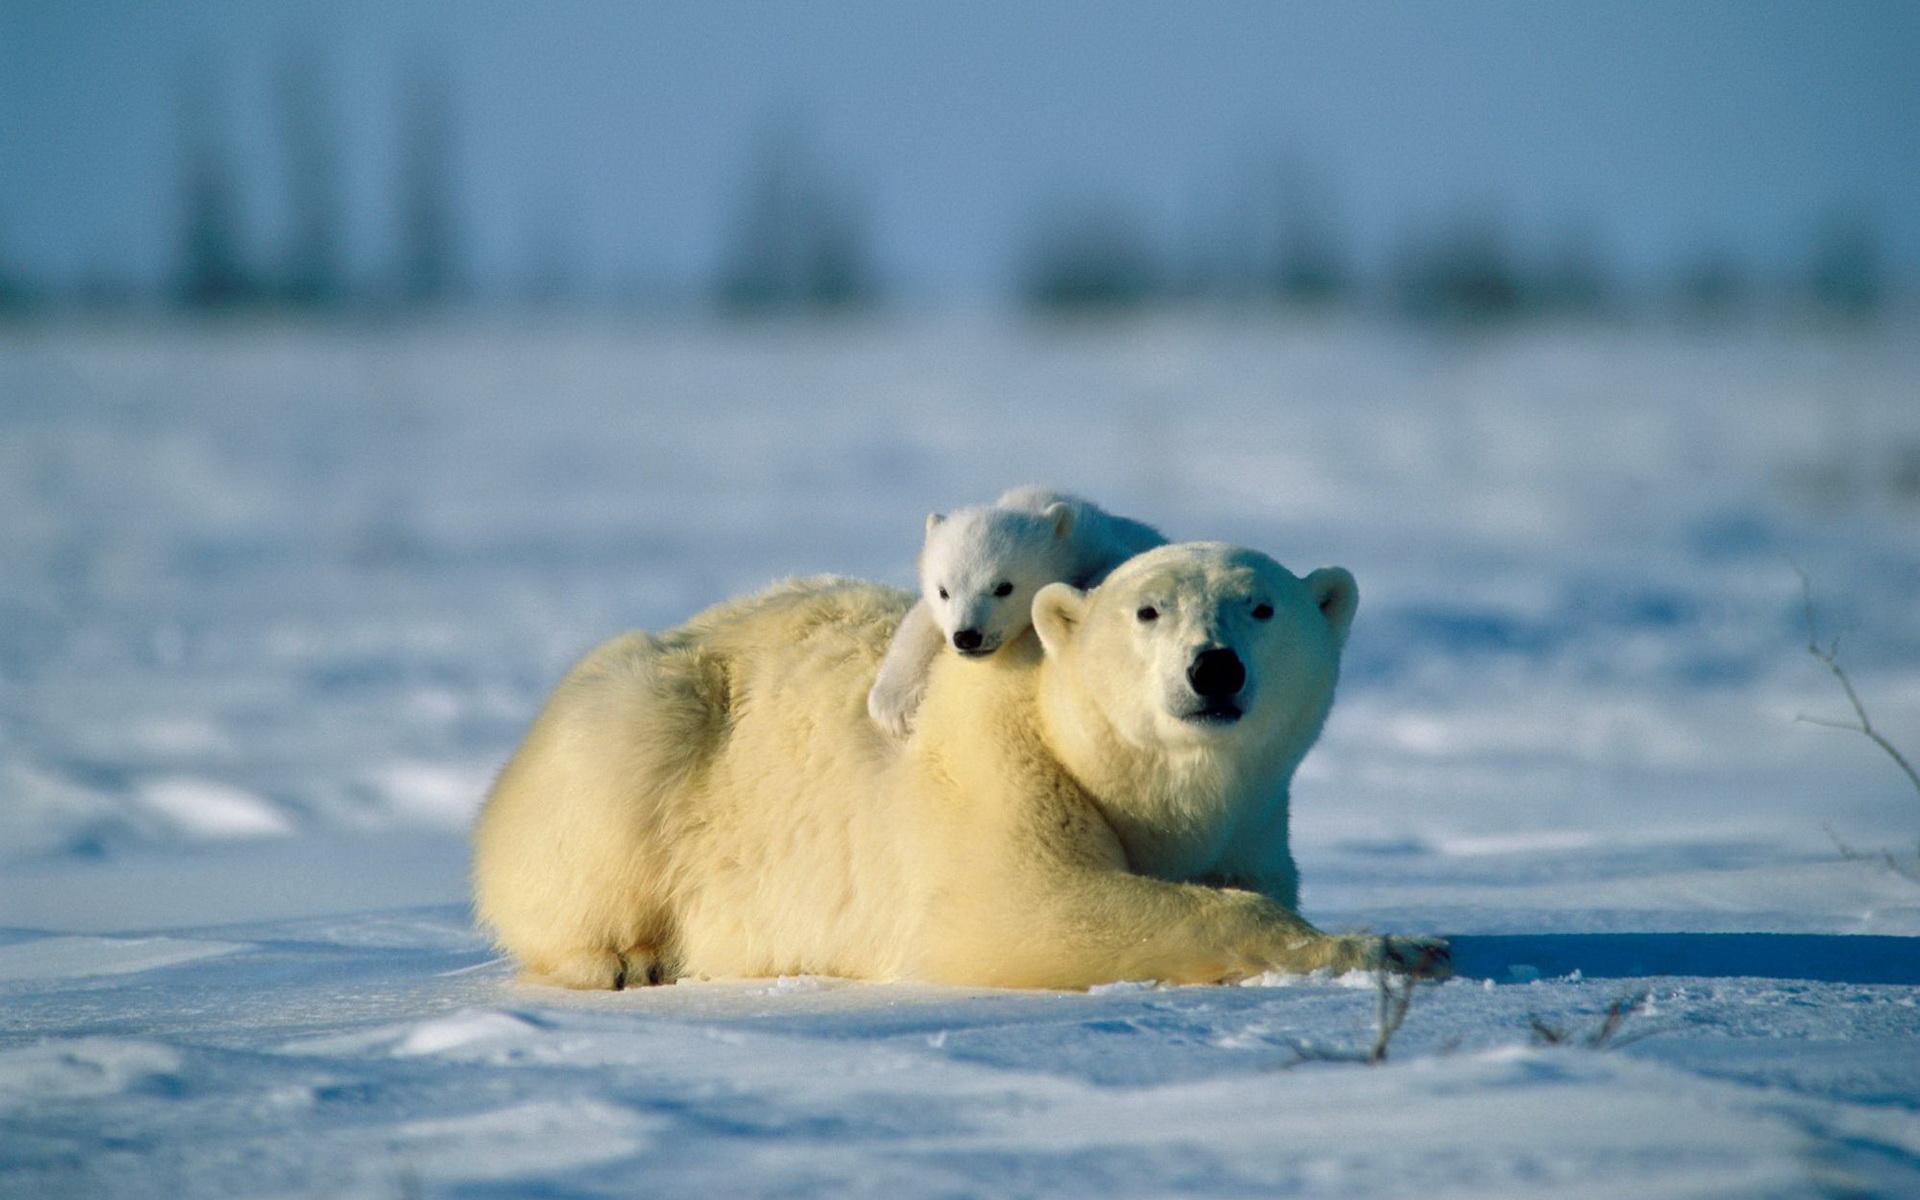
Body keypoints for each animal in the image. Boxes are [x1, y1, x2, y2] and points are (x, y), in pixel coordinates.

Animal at [472, 545, 1443, 990]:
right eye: (1149, 610)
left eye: (1263, 606)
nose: (1214, 668)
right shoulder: (998, 768)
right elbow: (1030, 906)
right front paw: (1396, 944)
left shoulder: (1252, 818)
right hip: (644, 721)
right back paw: (624, 958)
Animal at [867, 489, 1159, 741]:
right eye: (943, 591)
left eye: (1004, 587)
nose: (967, 637)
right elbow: (920, 620)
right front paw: (894, 707)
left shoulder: (1101, 547)